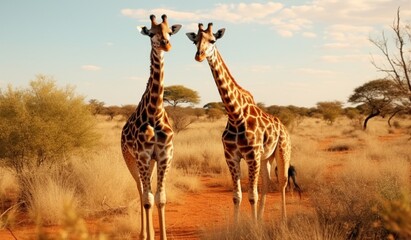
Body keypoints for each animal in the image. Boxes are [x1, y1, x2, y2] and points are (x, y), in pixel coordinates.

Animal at [120, 15, 182, 240]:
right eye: (151, 33)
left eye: (170, 32)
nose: (167, 44)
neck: (155, 112)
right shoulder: (143, 156)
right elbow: (148, 199)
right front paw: (149, 236)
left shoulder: (164, 156)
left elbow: (160, 198)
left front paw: (161, 236)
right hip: (130, 159)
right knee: (140, 191)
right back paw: (143, 233)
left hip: (150, 163)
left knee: (147, 193)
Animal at [187, 23, 292, 222]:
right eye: (195, 40)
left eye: (213, 40)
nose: (199, 55)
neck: (235, 114)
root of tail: (284, 128)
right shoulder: (231, 156)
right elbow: (237, 196)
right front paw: (243, 225)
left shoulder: (252, 156)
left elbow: (252, 195)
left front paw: (254, 227)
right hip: (266, 157)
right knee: (267, 183)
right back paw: (262, 219)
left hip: (282, 151)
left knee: (282, 181)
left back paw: (283, 219)